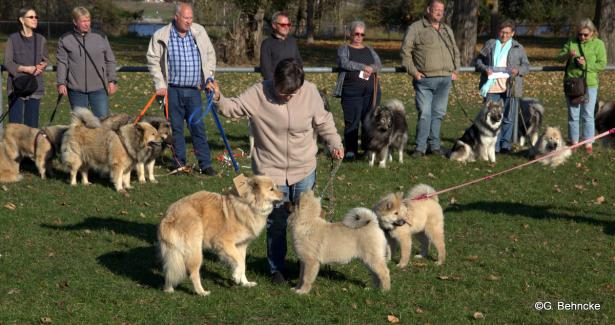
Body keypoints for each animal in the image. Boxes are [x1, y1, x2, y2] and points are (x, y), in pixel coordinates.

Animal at [158, 176, 286, 294]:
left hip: (175, 252)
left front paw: (245, 282)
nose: (285, 194)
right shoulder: (224, 242)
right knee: (193, 273)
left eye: (276, 186)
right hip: (195, 251)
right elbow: (239, 262)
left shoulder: (241, 246)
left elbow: (243, 264)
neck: (249, 204)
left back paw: (168, 289)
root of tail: (169, 216)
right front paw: (236, 276)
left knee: (170, 269)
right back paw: (201, 292)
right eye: (271, 189)